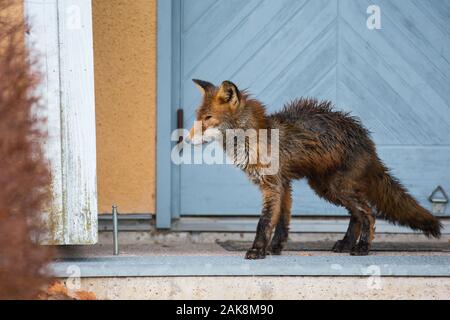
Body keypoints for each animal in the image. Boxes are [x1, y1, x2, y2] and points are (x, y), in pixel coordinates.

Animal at [187, 79, 442, 258]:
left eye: (208, 118)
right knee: (356, 215)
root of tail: (367, 140)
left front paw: (258, 251)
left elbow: (264, 222)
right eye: (198, 117)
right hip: (326, 188)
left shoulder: (273, 186)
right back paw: (346, 244)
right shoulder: (285, 184)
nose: (185, 139)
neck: (255, 139)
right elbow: (282, 221)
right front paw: (275, 248)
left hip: (337, 188)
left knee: (368, 213)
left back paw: (362, 247)